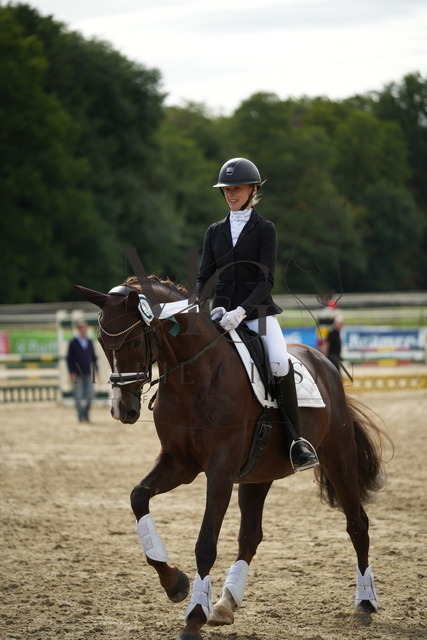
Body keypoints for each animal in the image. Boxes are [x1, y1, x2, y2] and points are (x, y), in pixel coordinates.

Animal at [76, 275, 387, 640]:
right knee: (250, 535)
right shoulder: (179, 463)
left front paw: (194, 617)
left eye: (136, 341)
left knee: (357, 524)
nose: (122, 410)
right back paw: (225, 604)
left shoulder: (220, 471)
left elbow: (205, 544)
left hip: (338, 456)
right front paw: (174, 582)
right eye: (100, 341)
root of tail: (323, 361)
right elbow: (138, 497)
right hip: (258, 473)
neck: (195, 375)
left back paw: (365, 603)